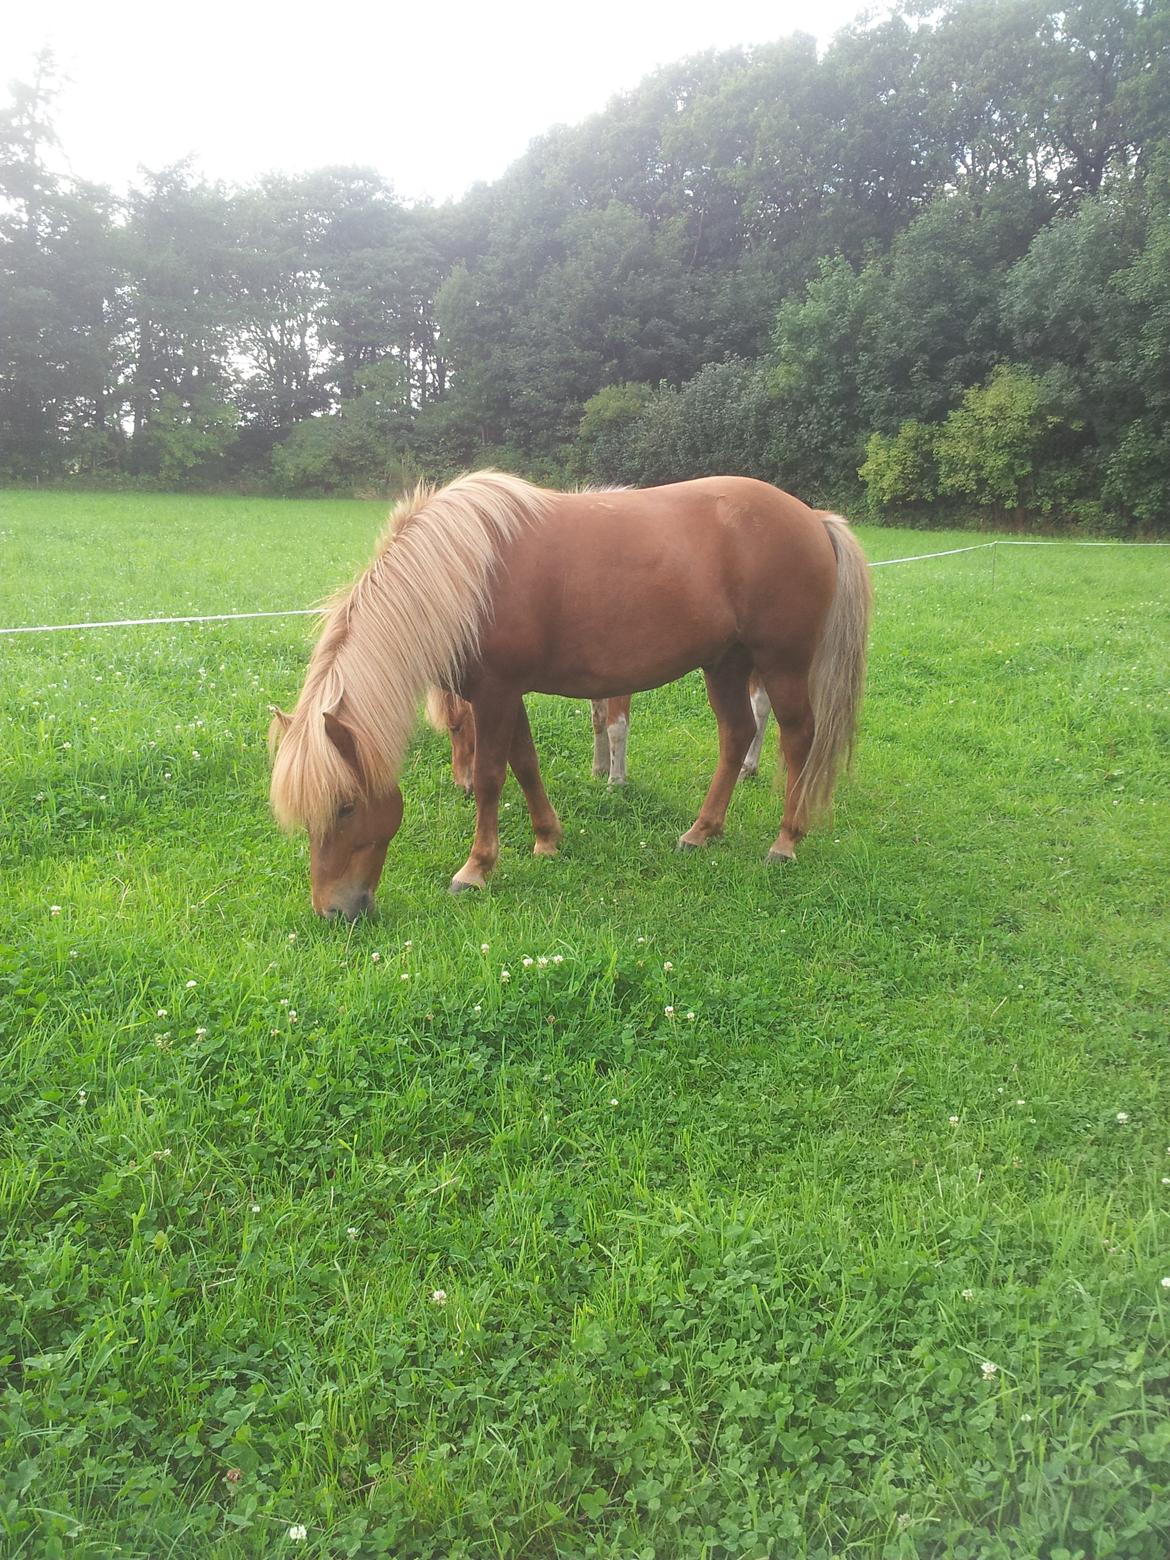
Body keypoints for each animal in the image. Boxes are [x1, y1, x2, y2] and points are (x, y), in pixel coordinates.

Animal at [268, 467, 873, 917]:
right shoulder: (506, 694)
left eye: (346, 806)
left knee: (797, 740)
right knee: (736, 734)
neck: (463, 574)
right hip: (726, 663)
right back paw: (702, 832)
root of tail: (812, 517)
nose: (335, 912)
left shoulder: (495, 693)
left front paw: (476, 869)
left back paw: (785, 842)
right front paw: (547, 840)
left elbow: (490, 779)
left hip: (782, 664)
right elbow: (526, 765)